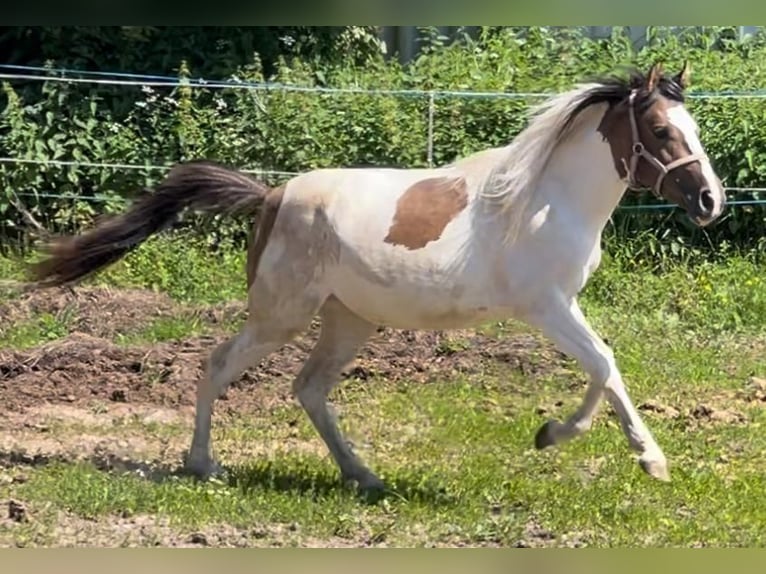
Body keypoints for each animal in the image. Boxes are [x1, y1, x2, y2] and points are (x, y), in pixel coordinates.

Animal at [27, 64, 728, 496]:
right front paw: (553, 435)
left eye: (693, 128)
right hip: (281, 315)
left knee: (308, 389)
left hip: (348, 320)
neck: (543, 200)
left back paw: (362, 476)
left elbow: (609, 371)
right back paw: (203, 465)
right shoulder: (546, 306)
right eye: (661, 130)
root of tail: (272, 197)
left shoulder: (564, 305)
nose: (711, 201)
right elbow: (603, 364)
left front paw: (651, 459)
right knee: (218, 364)